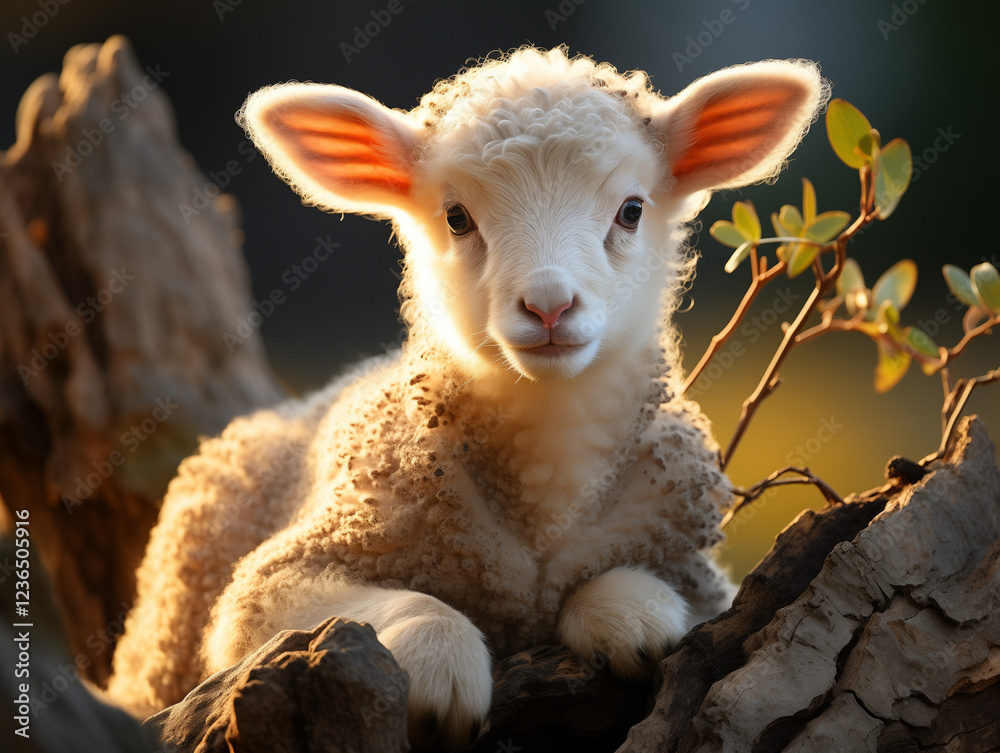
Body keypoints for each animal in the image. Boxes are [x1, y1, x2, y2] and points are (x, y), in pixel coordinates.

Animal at [107, 47, 826, 750]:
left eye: (631, 210)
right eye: (457, 217)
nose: (548, 305)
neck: (546, 470)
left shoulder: (699, 571)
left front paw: (633, 614)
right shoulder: (272, 586)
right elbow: (401, 607)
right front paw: (442, 672)